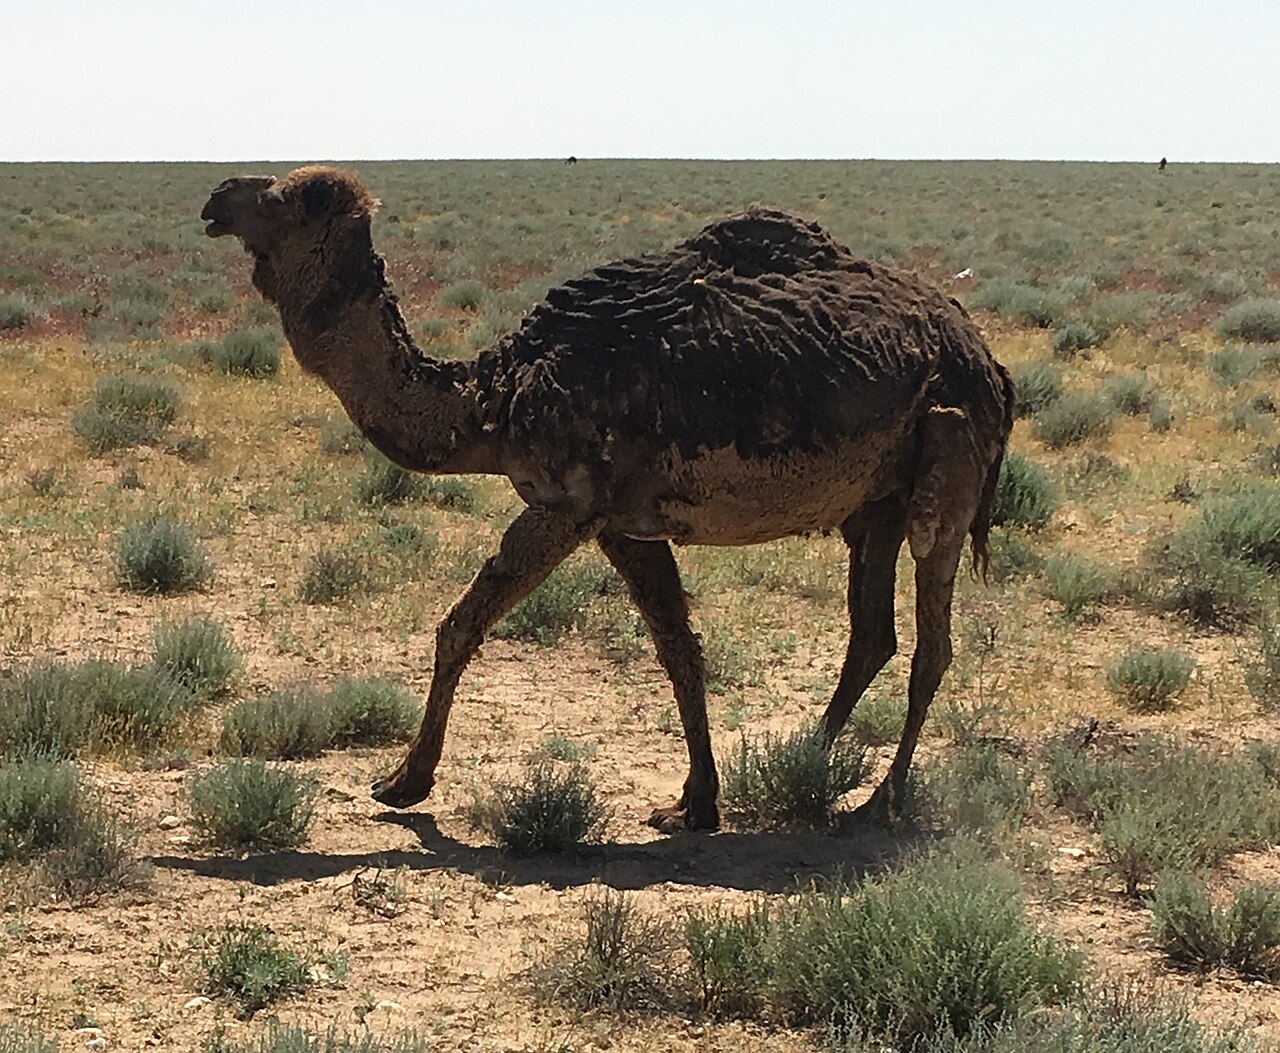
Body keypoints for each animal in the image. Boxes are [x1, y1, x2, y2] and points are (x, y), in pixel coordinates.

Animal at [201, 166, 1015, 832]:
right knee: (871, 634)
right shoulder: (625, 523)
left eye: (286, 197)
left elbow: (460, 624)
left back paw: (882, 799)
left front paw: (404, 781)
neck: (493, 401)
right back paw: (800, 768)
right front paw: (697, 800)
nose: (215, 198)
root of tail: (987, 359)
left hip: (948, 464)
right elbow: (677, 647)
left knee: (932, 640)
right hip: (875, 503)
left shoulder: (567, 505)